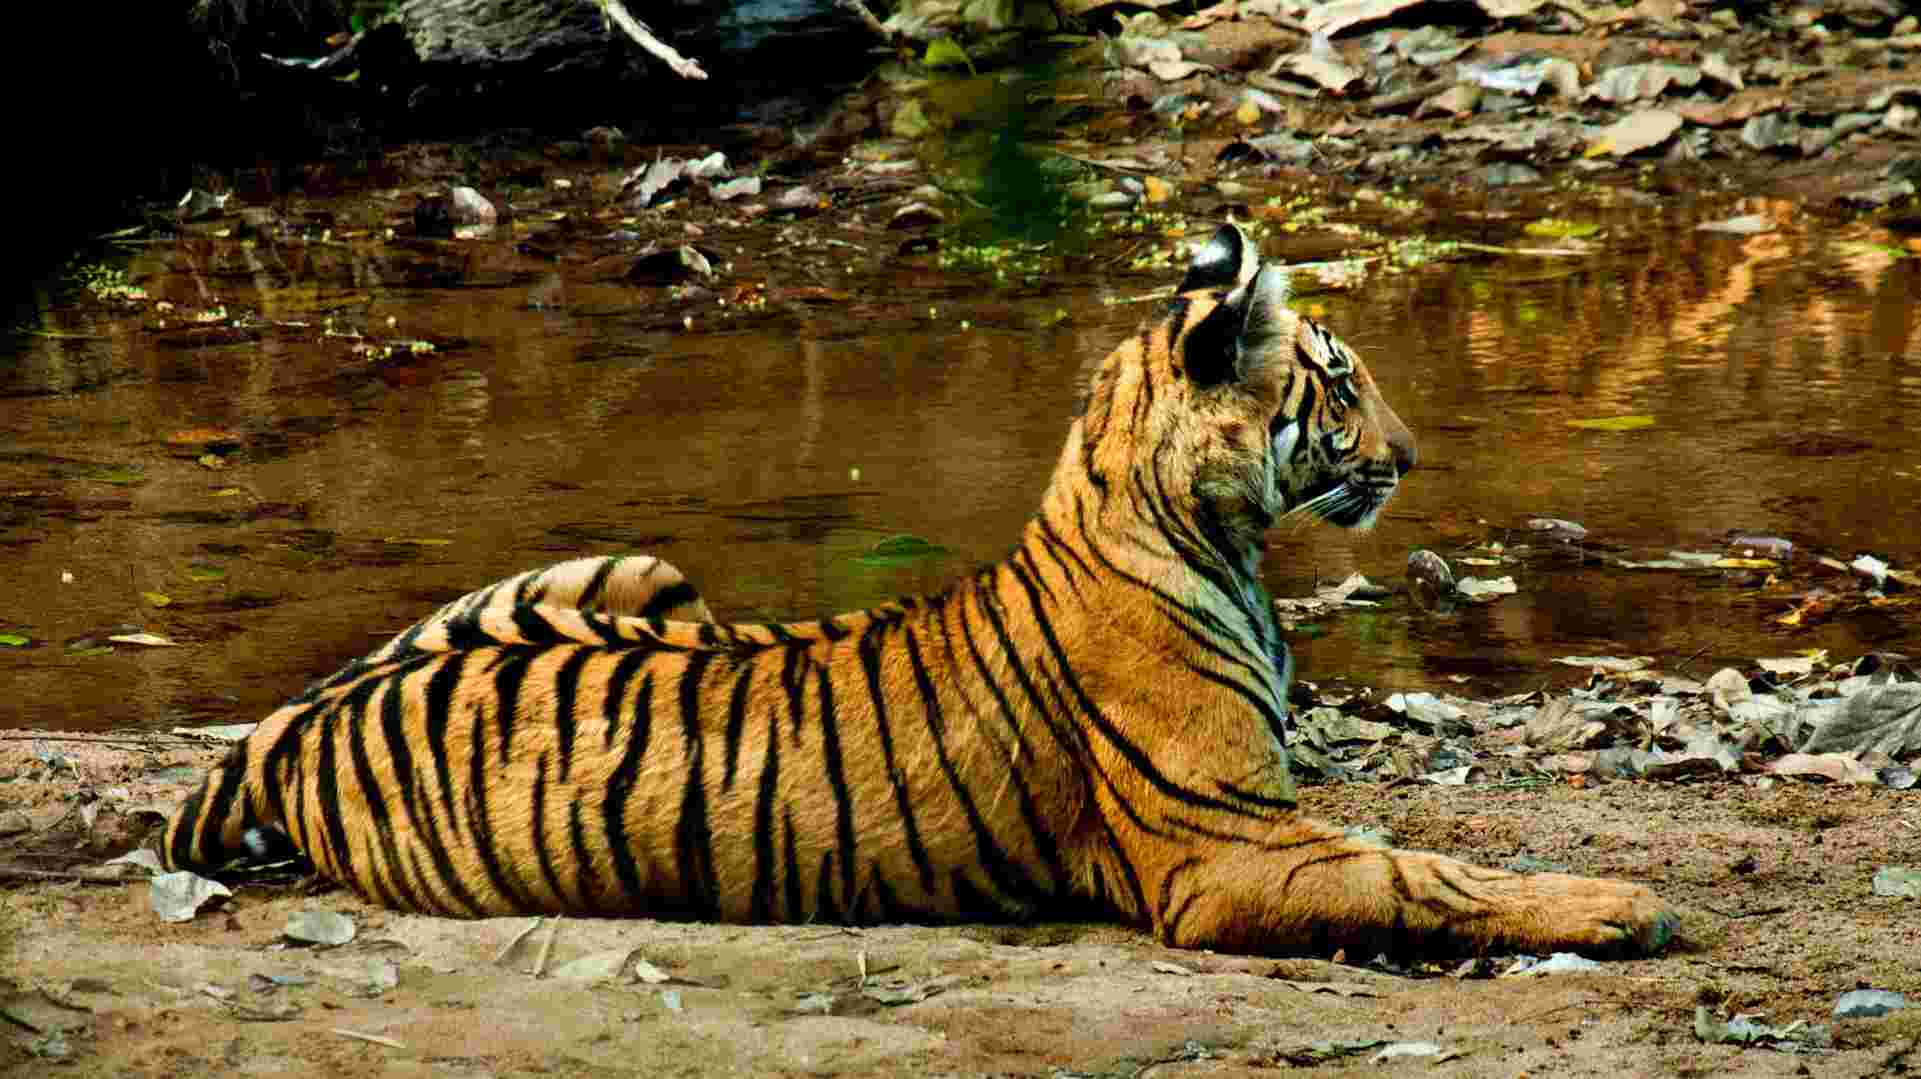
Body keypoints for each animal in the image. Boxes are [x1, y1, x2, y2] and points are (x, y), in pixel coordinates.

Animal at [160, 223, 1676, 958]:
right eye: (1341, 381)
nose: (1412, 457)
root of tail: (298, 717)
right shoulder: (1221, 848)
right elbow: (1420, 871)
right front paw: (1616, 904)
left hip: (642, 564)